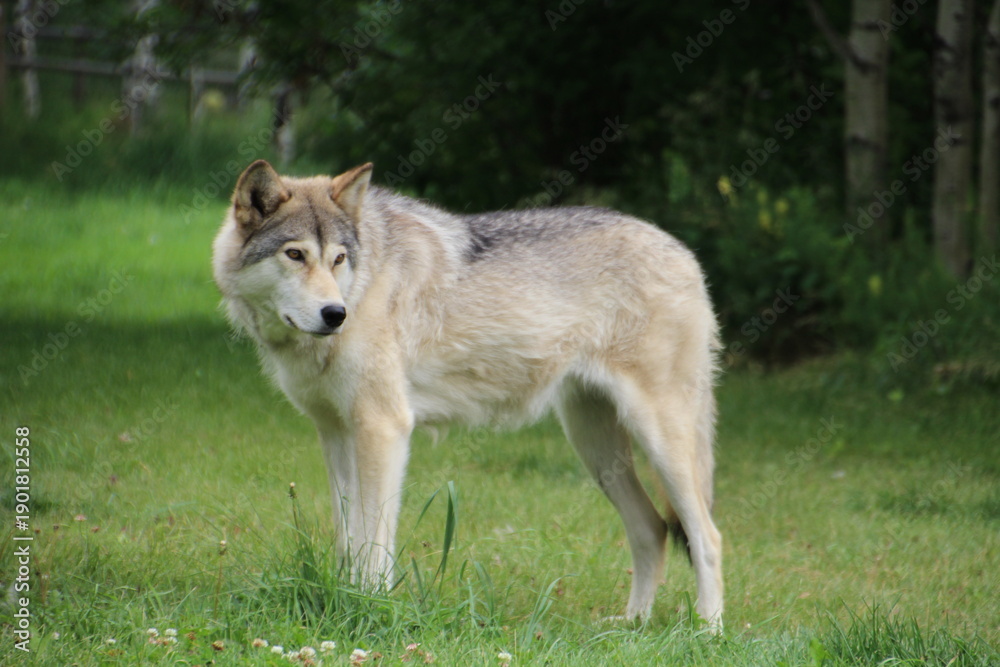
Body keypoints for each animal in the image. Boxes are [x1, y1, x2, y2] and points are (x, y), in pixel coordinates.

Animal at [212, 160, 724, 628]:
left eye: (338, 258)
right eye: (295, 254)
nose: (335, 314)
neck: (365, 282)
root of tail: (683, 252)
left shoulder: (384, 428)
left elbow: (373, 544)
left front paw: (369, 609)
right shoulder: (335, 433)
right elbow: (347, 539)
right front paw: (343, 602)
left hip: (660, 441)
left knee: (708, 537)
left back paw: (707, 632)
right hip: (595, 447)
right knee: (652, 529)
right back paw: (632, 625)